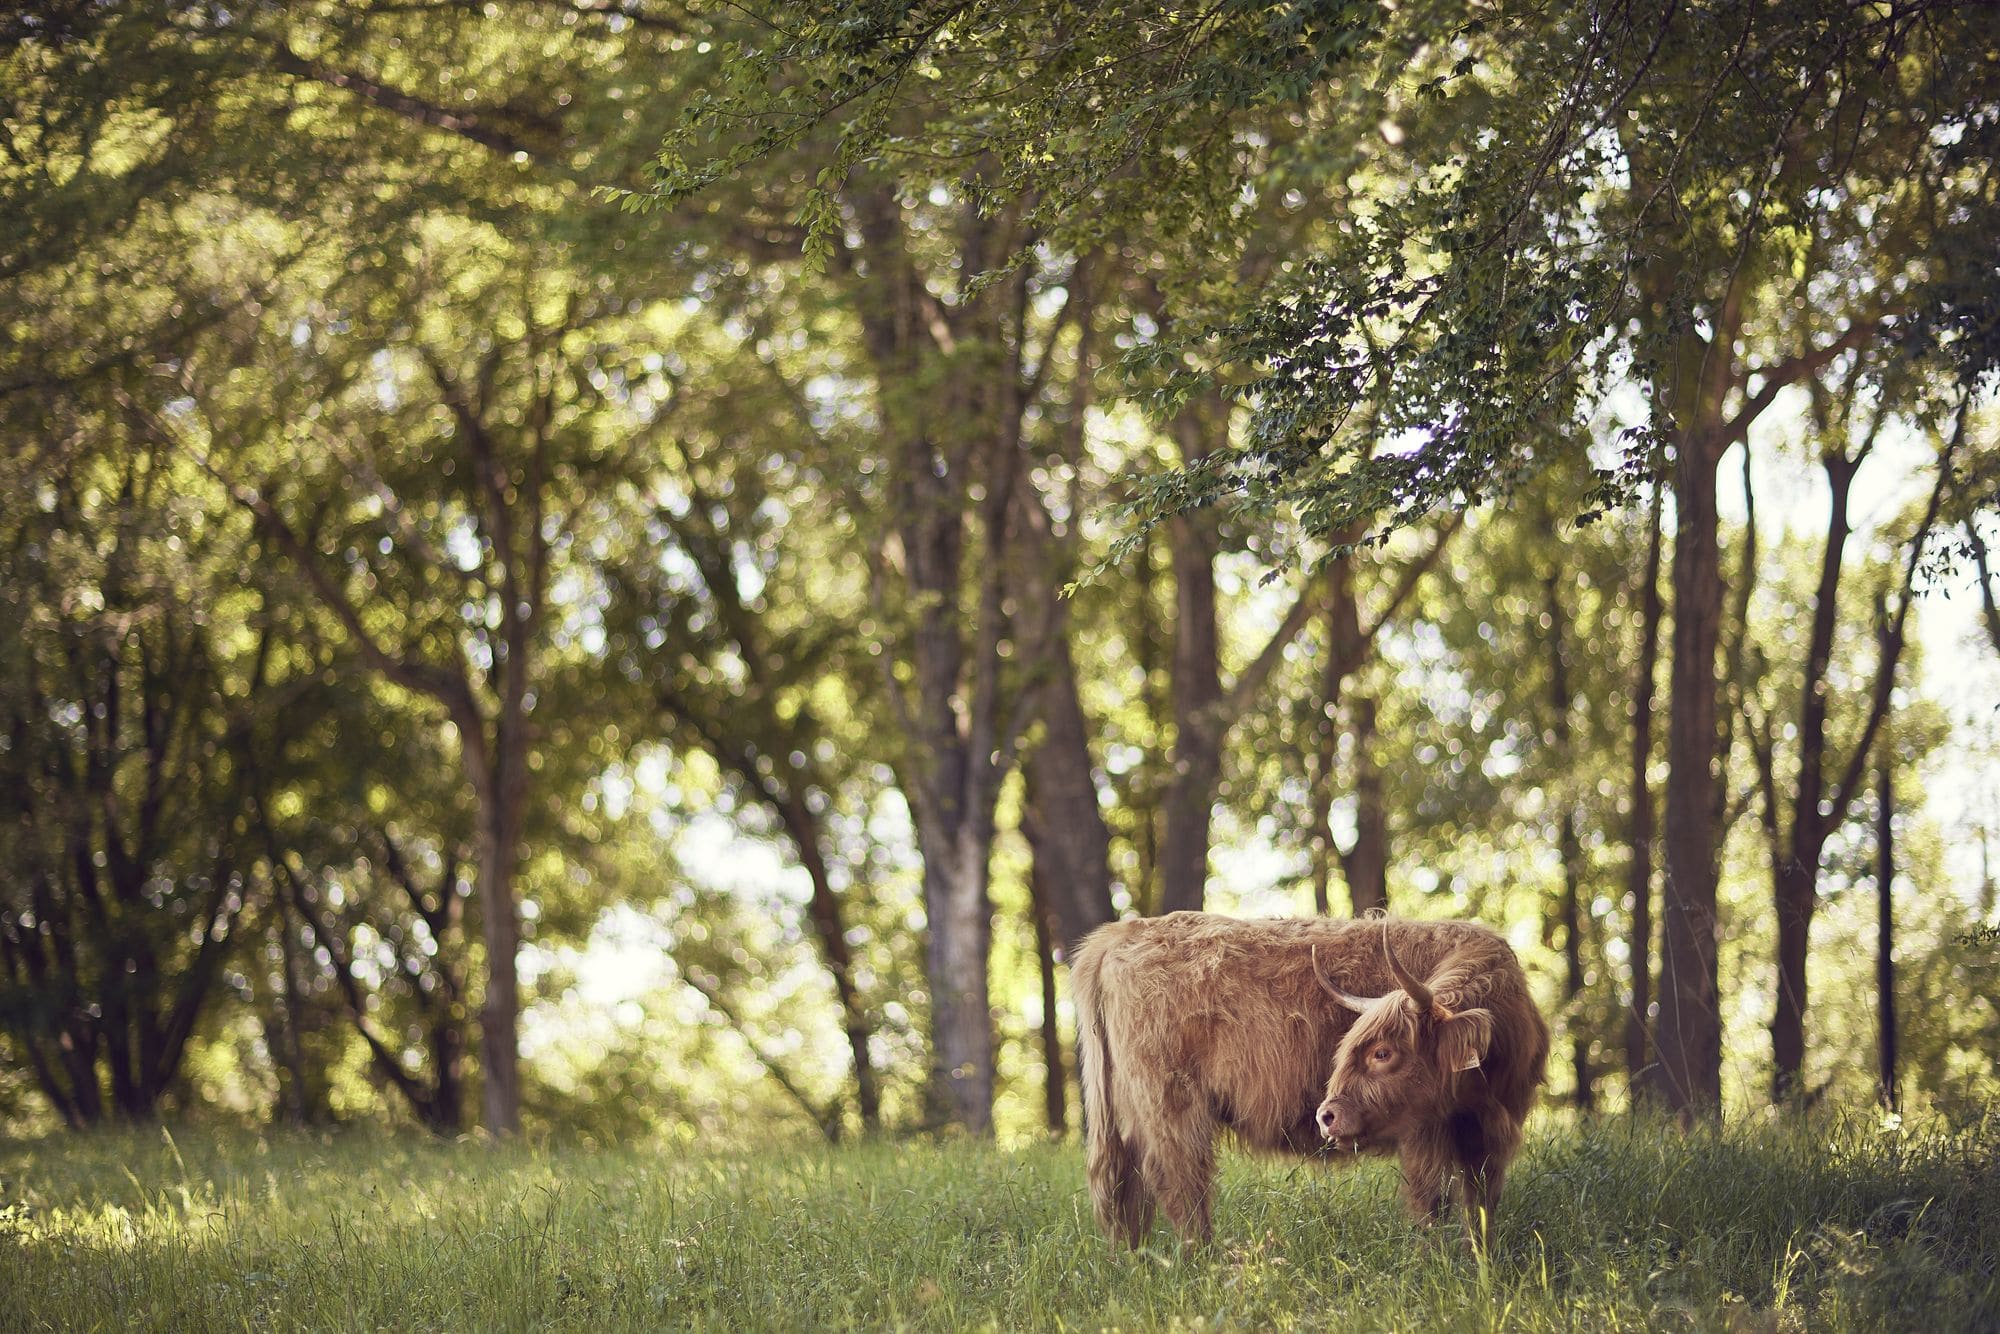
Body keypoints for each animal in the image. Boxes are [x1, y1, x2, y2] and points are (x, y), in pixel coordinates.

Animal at [1072, 911, 1549, 1247]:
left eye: (1382, 1052)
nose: (1326, 1116)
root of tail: (1122, 933)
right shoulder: (1424, 1132)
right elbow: (1431, 1201)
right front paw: (1436, 1266)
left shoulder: (1490, 1131)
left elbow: (1480, 1203)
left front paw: (1480, 1264)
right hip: (1169, 1105)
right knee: (1179, 1185)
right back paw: (1203, 1267)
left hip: (1123, 1112)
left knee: (1125, 1187)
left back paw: (1137, 1262)